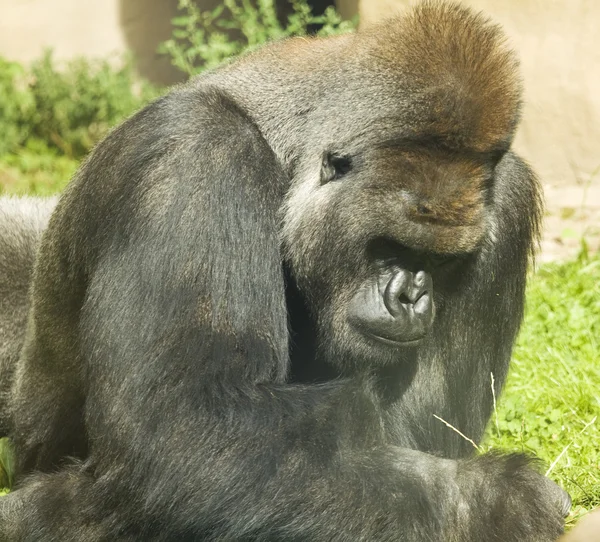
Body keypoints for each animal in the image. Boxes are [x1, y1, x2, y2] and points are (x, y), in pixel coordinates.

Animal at [1, 1, 572, 542]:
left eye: (440, 260)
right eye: (388, 245)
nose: (410, 298)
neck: (286, 145)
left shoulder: (507, 199)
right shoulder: (197, 151)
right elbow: (181, 424)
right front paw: (494, 500)